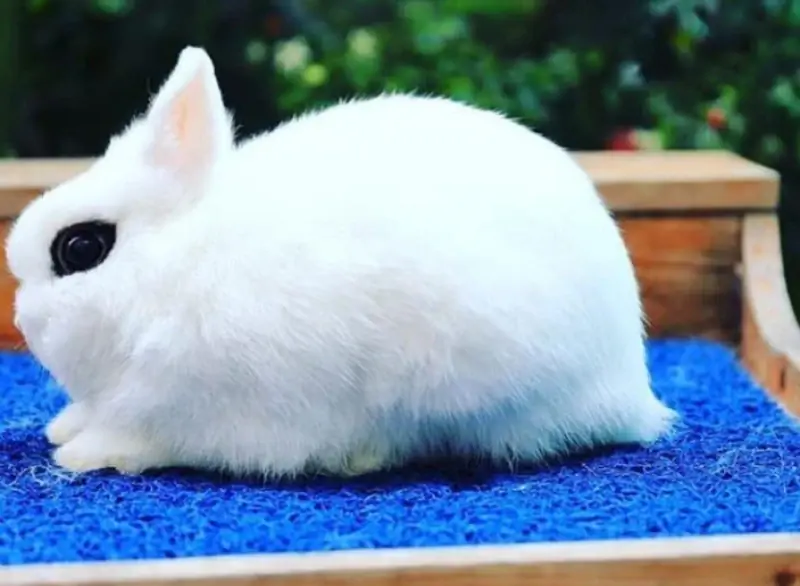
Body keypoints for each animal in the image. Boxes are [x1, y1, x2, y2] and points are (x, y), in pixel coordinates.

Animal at [6, 45, 676, 474]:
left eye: (81, 248)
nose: (20, 318)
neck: (178, 265)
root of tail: (631, 388)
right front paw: (65, 429)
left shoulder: (199, 409)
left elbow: (146, 440)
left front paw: (83, 455)